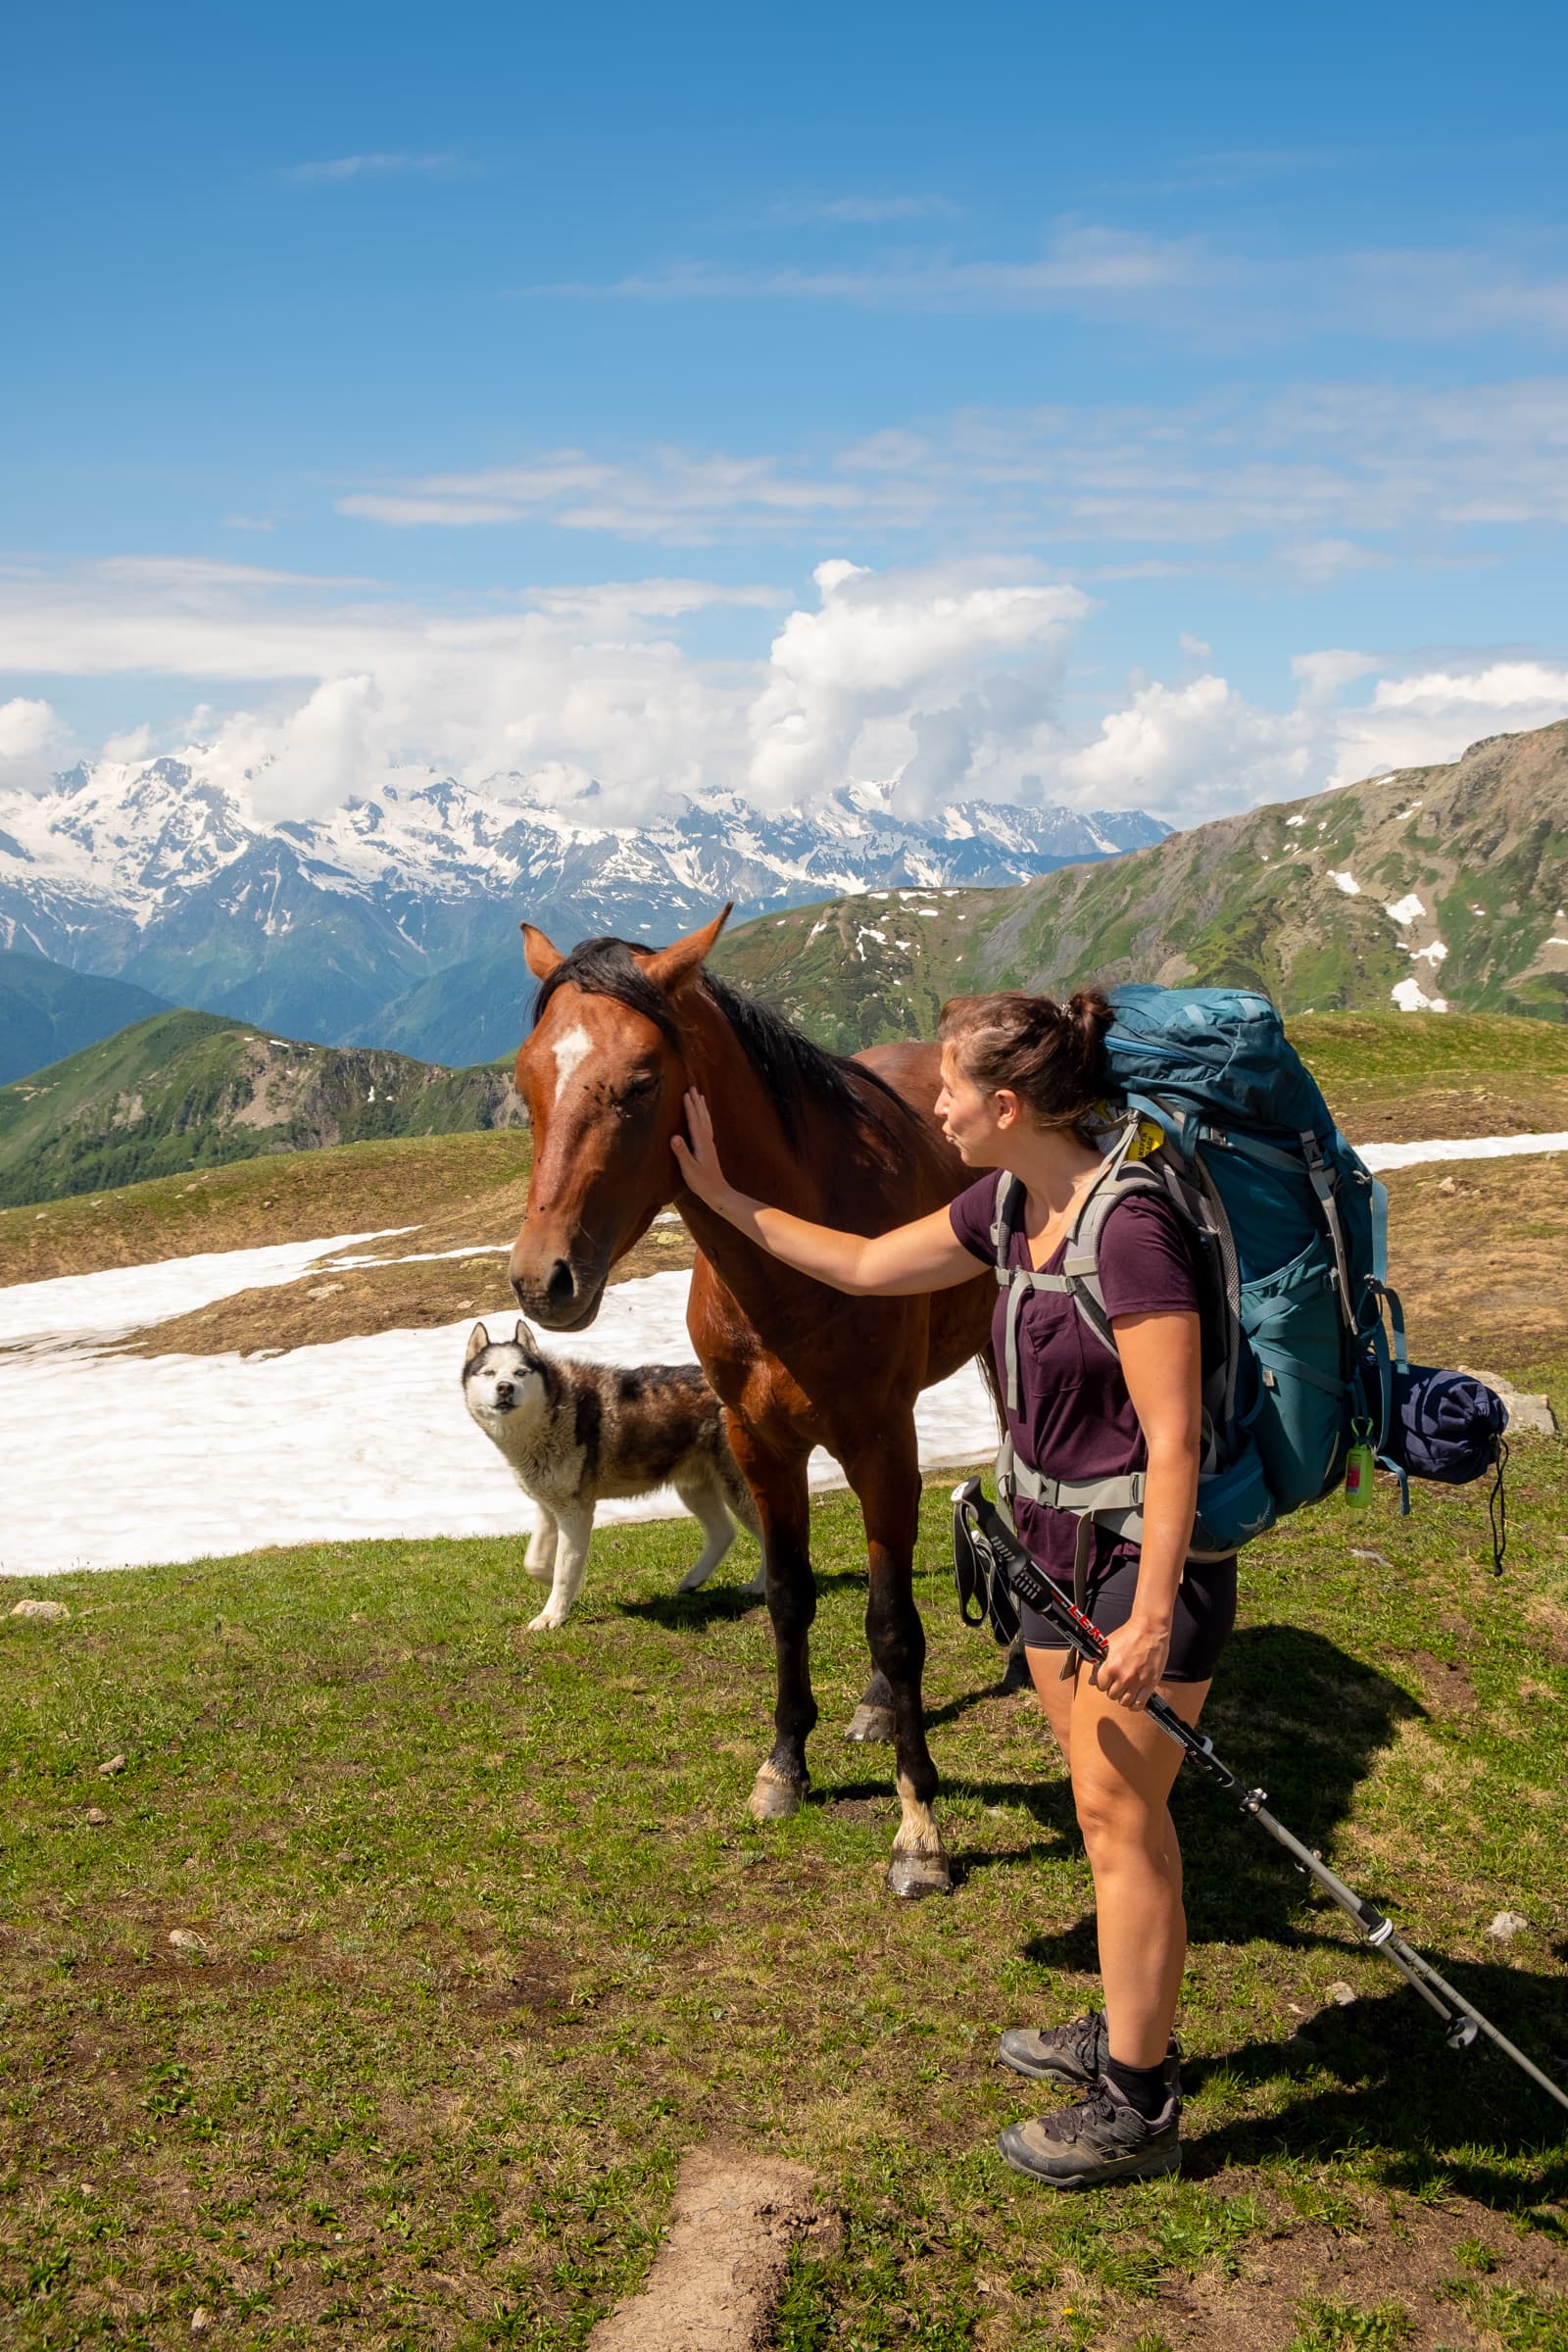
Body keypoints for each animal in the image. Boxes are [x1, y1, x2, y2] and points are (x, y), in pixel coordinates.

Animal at [461, 1326, 766, 1637]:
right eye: (489, 1373)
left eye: (520, 1372)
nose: (505, 1388)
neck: (554, 1413)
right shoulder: (549, 1506)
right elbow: (535, 1562)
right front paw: (555, 1581)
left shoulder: (576, 1512)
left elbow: (565, 1569)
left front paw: (552, 1616)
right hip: (694, 1490)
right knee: (724, 1533)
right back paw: (693, 1581)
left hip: (735, 1490)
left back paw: (759, 1587)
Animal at [512, 898, 992, 1890]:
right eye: (526, 1079)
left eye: (641, 1083)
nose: (544, 1280)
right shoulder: (759, 1445)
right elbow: (788, 1597)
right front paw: (784, 1767)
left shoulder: (881, 1440)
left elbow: (894, 1623)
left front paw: (919, 1824)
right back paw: (876, 1708)